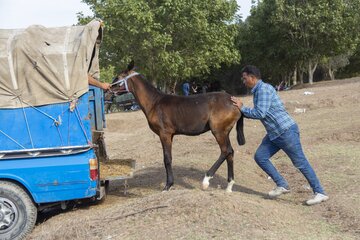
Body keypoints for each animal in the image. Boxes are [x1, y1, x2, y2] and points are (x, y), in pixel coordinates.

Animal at [109, 61, 245, 191]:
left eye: (119, 77)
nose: (108, 89)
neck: (155, 102)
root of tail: (235, 102)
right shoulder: (171, 135)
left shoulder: (164, 134)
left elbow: (167, 159)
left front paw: (168, 185)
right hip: (225, 132)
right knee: (230, 153)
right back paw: (229, 185)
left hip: (218, 131)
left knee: (226, 151)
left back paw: (206, 180)